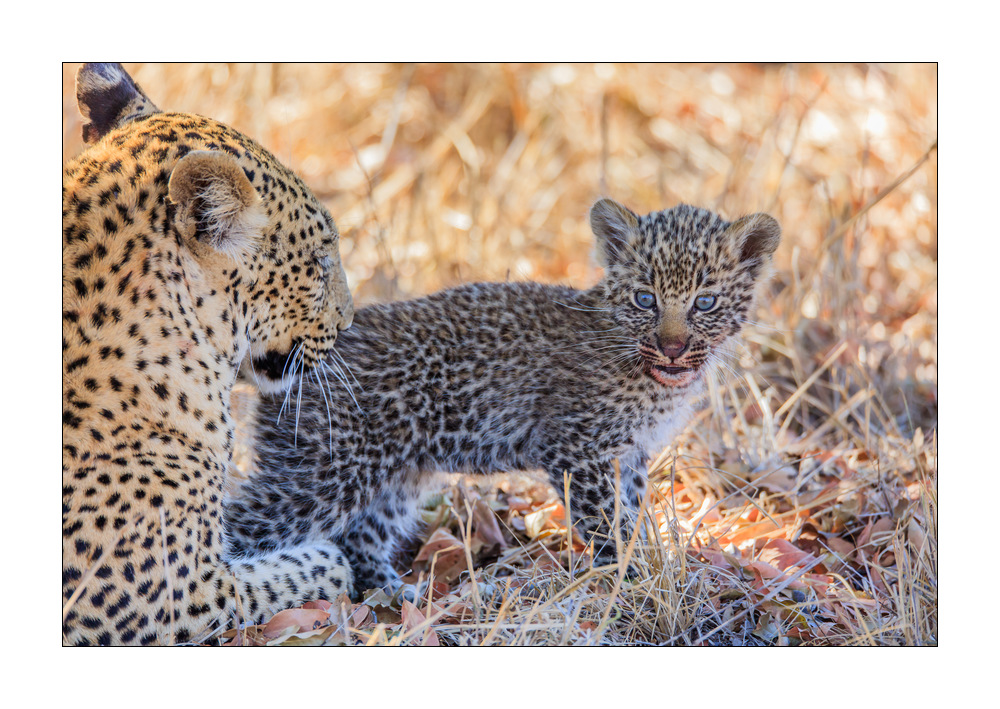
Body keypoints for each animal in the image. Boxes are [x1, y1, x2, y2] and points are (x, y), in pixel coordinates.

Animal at [224, 197, 780, 598]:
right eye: (646, 299)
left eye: (704, 302)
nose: (672, 346)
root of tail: (292, 356)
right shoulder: (578, 448)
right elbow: (609, 520)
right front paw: (633, 575)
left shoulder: (630, 453)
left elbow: (633, 510)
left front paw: (651, 564)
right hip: (322, 473)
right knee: (233, 522)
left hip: (396, 476)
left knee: (361, 540)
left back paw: (401, 596)